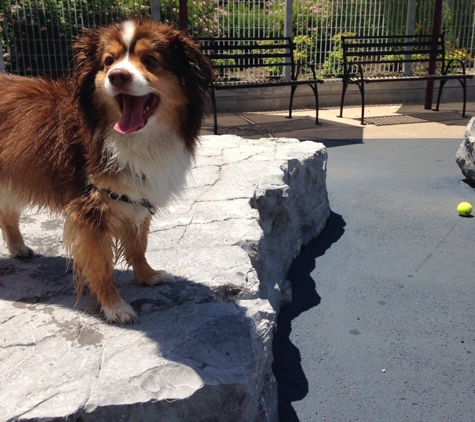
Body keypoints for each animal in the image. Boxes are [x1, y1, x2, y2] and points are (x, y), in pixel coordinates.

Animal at [0, 19, 213, 324]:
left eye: (151, 60)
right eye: (108, 62)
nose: (117, 76)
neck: (135, 140)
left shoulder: (137, 194)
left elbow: (138, 244)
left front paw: (147, 275)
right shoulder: (90, 208)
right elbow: (101, 265)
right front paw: (115, 306)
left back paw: (18, 247)